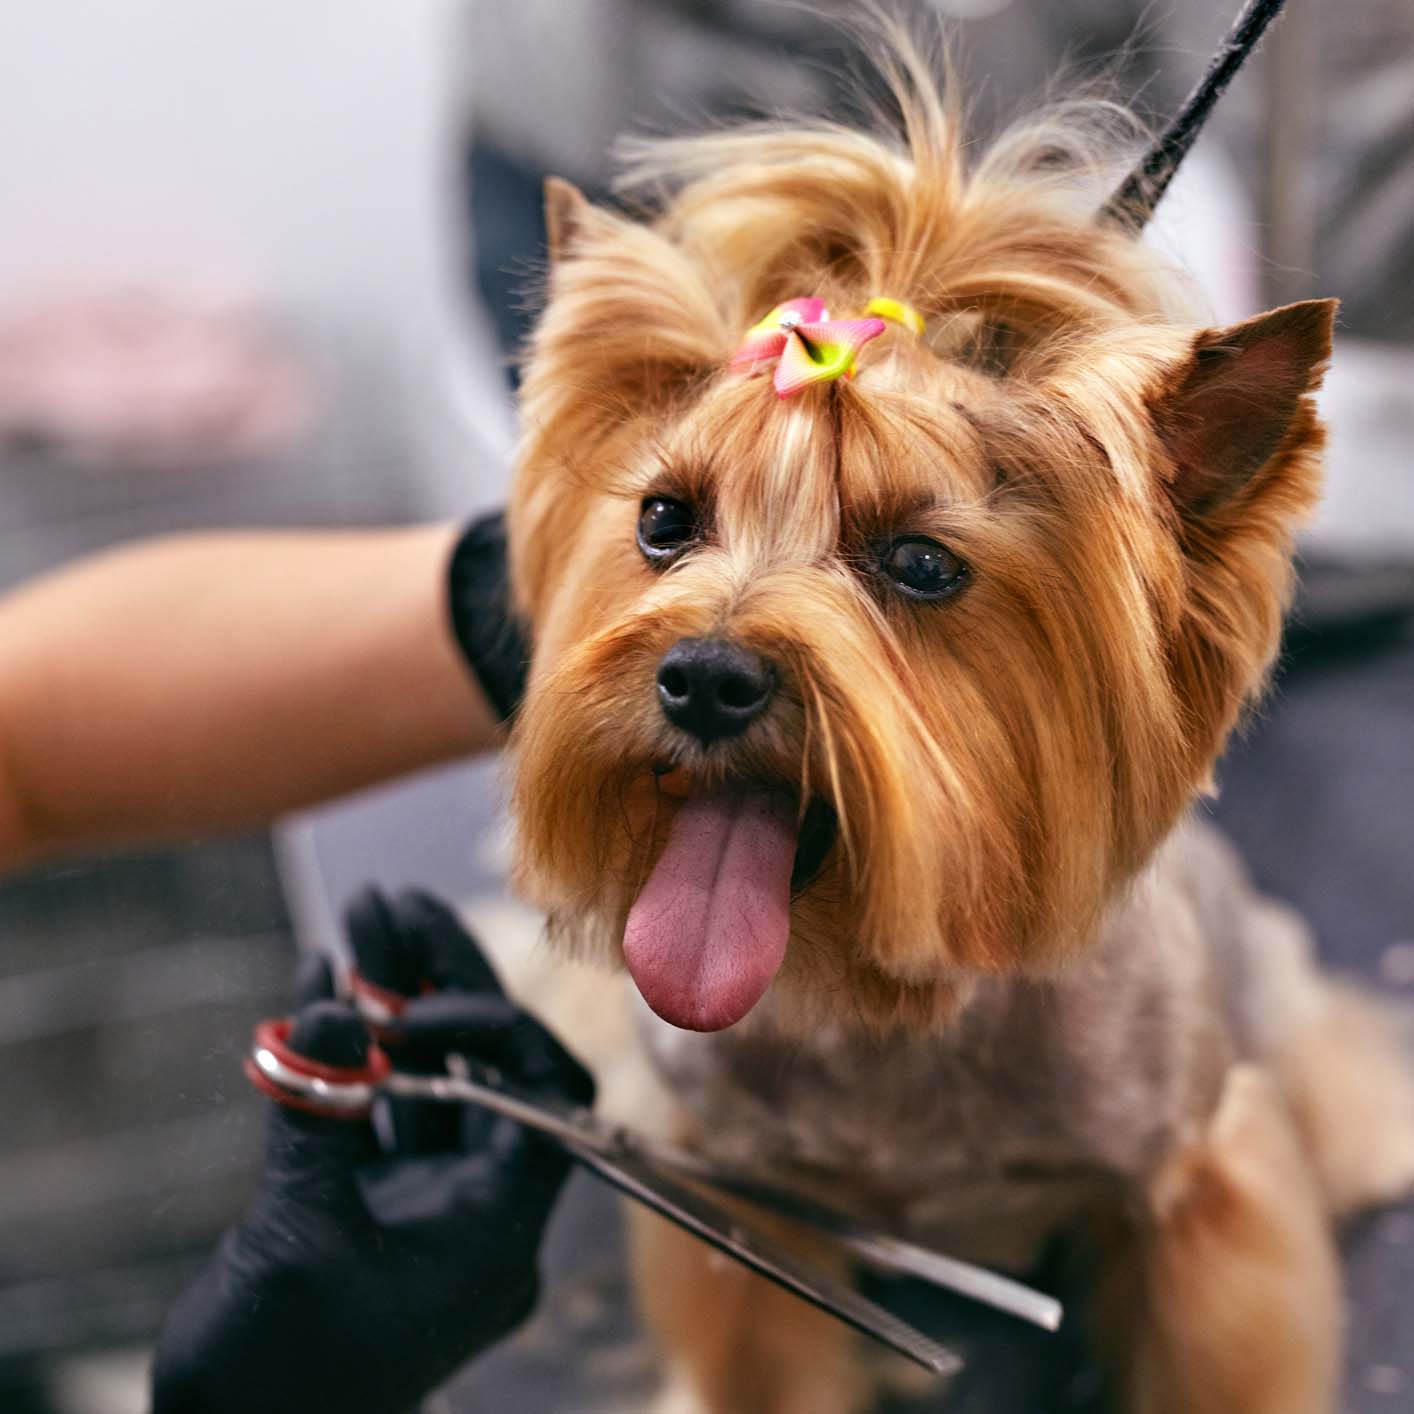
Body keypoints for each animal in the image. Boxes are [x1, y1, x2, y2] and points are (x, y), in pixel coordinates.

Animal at [503, 24, 1408, 1414]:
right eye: (663, 519)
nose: (704, 676)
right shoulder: (742, 1211)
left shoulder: (1201, 1184)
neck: (890, 1002)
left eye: (921, 564)